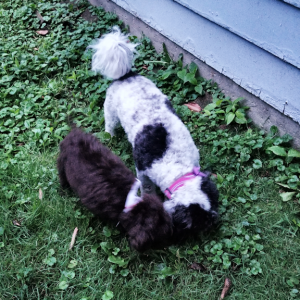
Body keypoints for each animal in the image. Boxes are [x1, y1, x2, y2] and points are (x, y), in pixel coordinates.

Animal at [88, 27, 219, 238]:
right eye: (198, 224)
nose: (214, 222)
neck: (177, 164)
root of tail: (127, 75)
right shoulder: (142, 171)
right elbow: (147, 188)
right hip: (110, 110)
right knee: (109, 124)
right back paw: (110, 136)